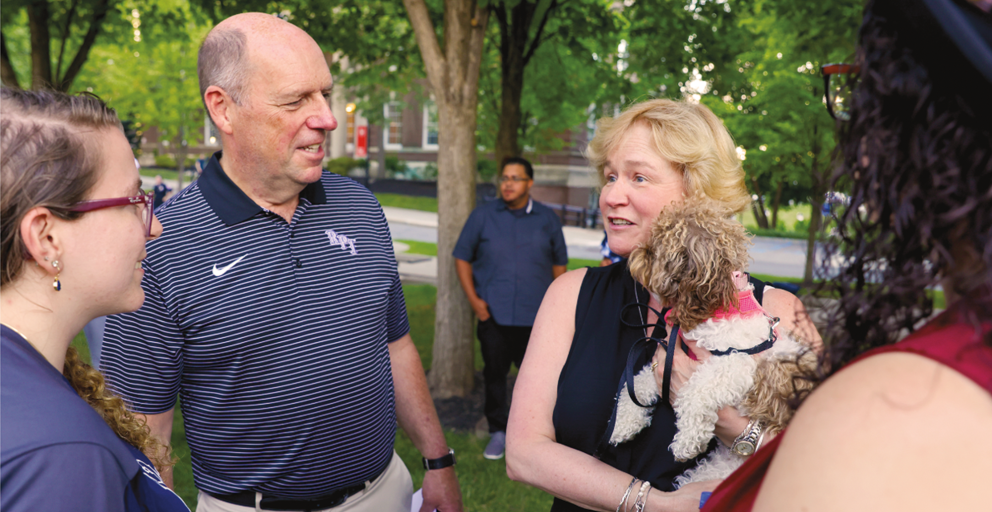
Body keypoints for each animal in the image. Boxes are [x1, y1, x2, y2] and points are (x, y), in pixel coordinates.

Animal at [616, 200, 816, 488]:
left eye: (655, 249)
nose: (634, 254)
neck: (718, 306)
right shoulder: (668, 358)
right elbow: (639, 381)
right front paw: (624, 421)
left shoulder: (735, 363)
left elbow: (695, 391)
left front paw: (687, 440)